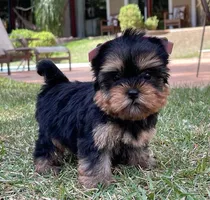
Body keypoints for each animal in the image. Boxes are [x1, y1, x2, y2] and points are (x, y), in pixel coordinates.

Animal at [33, 28, 170, 188]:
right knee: (46, 145)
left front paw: (144, 164)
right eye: (116, 77)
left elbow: (139, 148)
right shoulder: (95, 136)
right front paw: (98, 181)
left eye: (147, 75)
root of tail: (56, 84)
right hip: (50, 127)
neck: (123, 117)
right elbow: (95, 160)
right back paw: (45, 166)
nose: (133, 92)